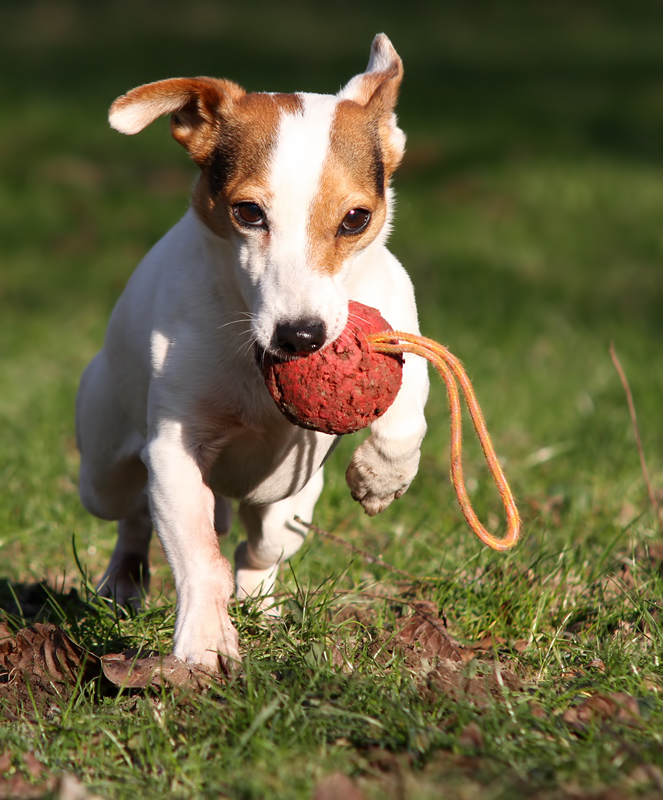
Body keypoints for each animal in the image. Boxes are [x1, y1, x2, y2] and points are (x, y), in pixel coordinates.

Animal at [76, 34, 430, 672]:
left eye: (356, 218)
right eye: (248, 212)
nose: (302, 337)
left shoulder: (396, 319)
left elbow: (405, 408)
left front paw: (380, 479)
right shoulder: (174, 449)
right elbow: (197, 556)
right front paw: (204, 642)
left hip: (293, 503)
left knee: (259, 546)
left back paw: (260, 604)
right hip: (102, 469)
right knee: (134, 515)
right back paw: (123, 581)